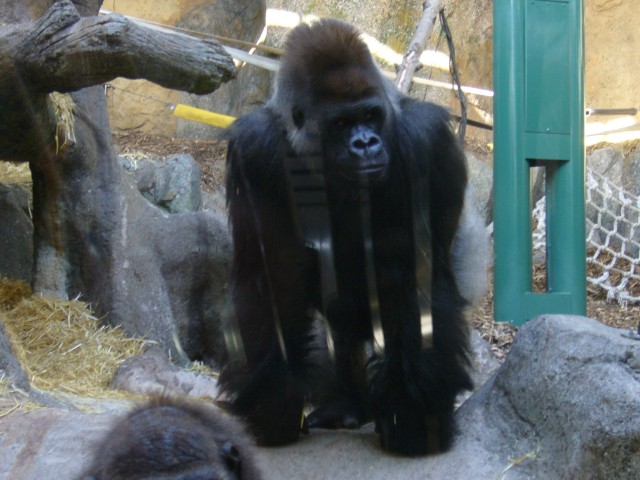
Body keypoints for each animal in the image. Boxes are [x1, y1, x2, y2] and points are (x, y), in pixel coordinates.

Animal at [221, 17, 490, 454]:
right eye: (342, 124)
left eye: (370, 115)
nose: (366, 144)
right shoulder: (255, 150)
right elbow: (270, 279)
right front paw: (275, 405)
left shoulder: (426, 141)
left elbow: (418, 277)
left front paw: (414, 419)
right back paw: (347, 403)